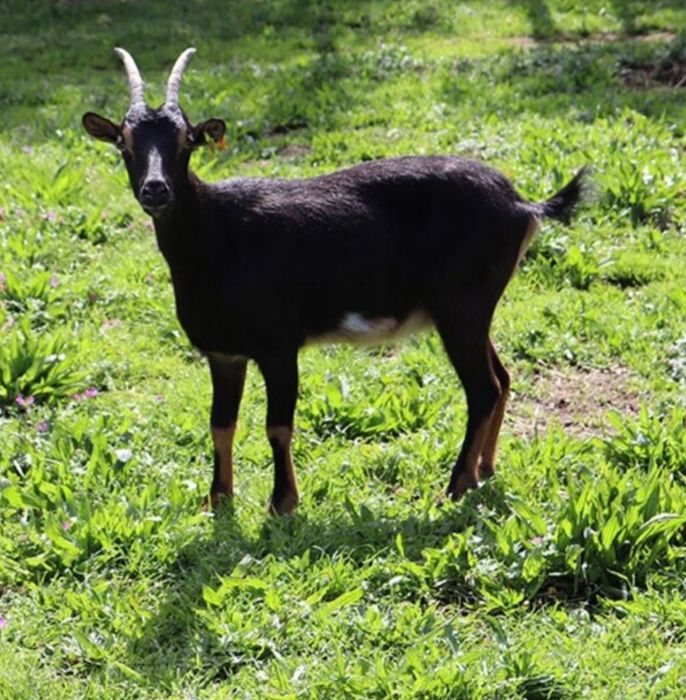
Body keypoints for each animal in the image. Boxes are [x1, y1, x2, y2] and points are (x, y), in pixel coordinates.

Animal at [82, 48, 586, 515]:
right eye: (124, 142)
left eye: (186, 140)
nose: (156, 189)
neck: (217, 236)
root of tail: (523, 205)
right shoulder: (224, 351)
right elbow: (220, 424)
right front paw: (218, 498)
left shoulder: (278, 344)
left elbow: (277, 425)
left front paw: (282, 502)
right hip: (473, 309)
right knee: (501, 377)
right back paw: (484, 469)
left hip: (463, 305)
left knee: (482, 388)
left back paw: (457, 484)